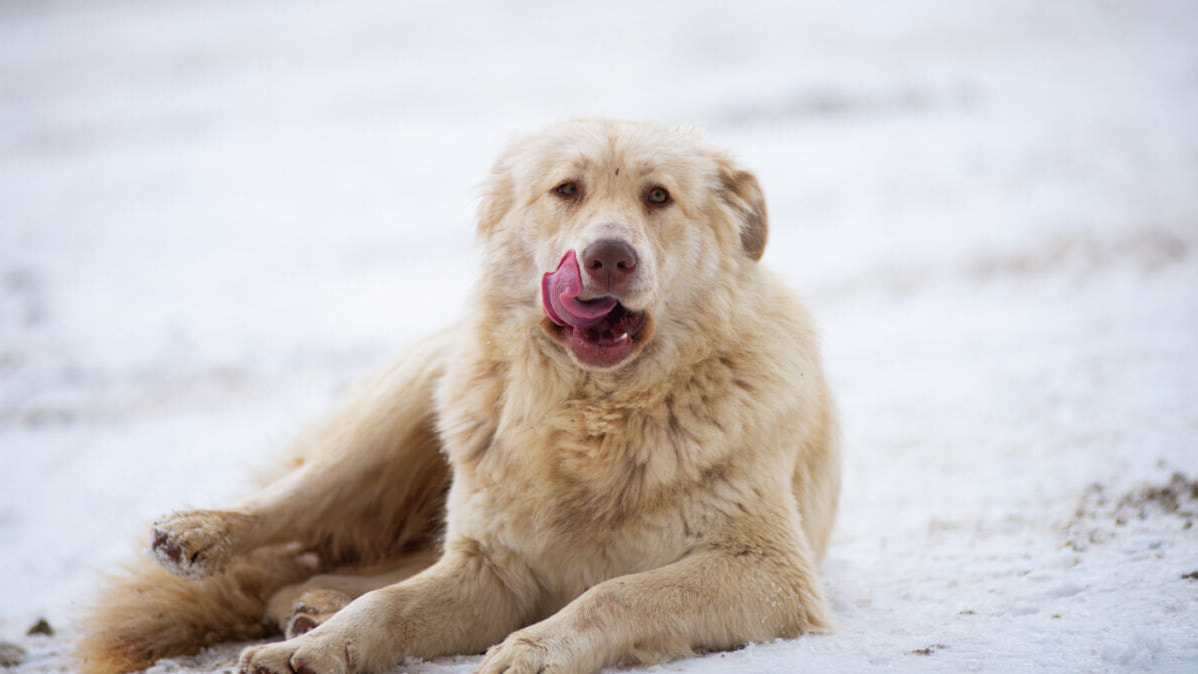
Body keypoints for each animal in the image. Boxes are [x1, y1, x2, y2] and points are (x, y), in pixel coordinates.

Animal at [77, 119, 843, 674]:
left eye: (657, 197)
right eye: (567, 191)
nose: (608, 258)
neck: (594, 414)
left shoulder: (769, 573)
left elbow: (613, 593)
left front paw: (534, 650)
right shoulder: (492, 570)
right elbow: (386, 609)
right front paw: (311, 652)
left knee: (353, 565)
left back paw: (310, 601)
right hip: (399, 416)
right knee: (300, 501)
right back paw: (205, 537)